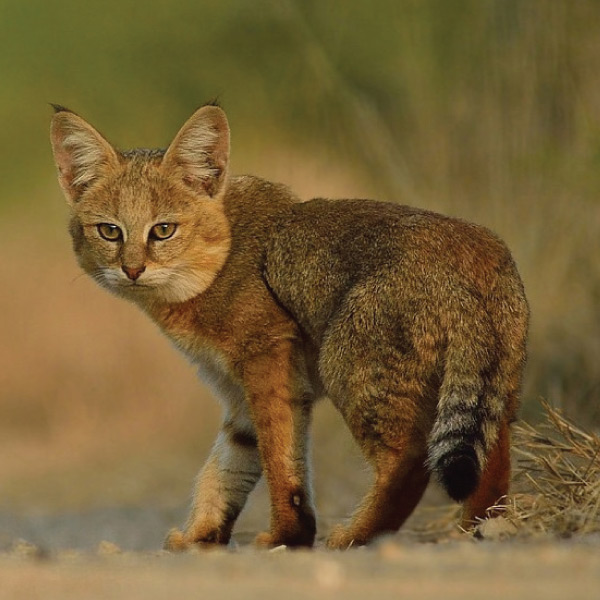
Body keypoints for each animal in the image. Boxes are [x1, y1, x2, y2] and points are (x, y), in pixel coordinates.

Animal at [52, 103, 528, 548]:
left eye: (163, 230)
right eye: (110, 231)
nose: (132, 270)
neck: (222, 254)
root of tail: (477, 251)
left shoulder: (269, 365)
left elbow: (280, 459)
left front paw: (287, 535)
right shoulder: (237, 395)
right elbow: (226, 466)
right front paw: (201, 536)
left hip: (351, 371)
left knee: (410, 462)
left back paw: (356, 536)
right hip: (491, 394)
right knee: (492, 462)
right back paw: (476, 530)